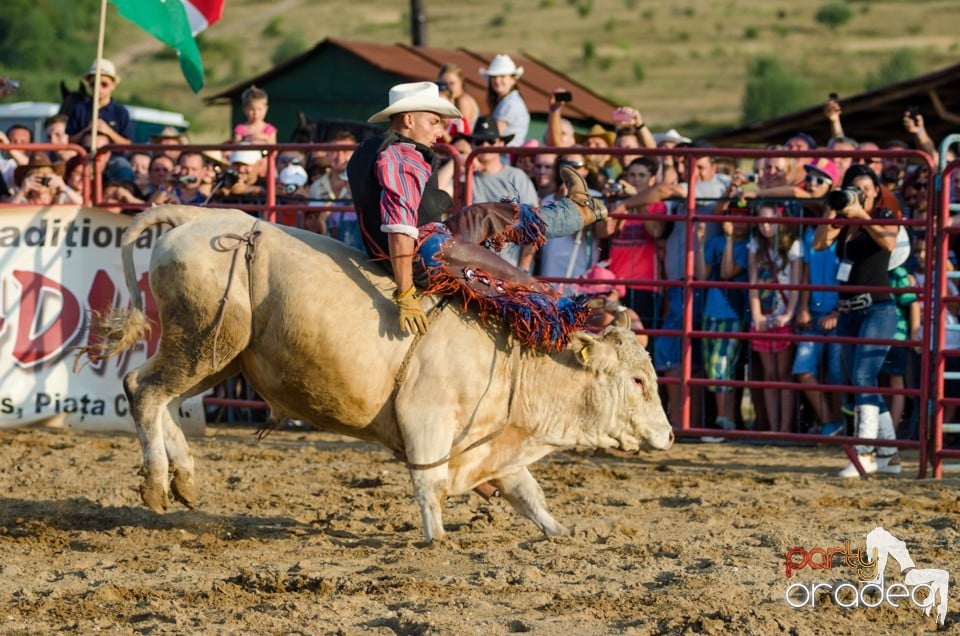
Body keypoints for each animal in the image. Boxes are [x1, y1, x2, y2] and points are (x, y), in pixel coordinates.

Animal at [84, 206, 676, 544]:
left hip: (221, 355)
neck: (511, 362)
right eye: (638, 381)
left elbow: (527, 492)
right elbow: (429, 483)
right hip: (201, 343)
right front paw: (436, 539)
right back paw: (157, 484)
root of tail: (195, 220)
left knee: (161, 399)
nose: (670, 435)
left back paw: (182, 476)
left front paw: (560, 531)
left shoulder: (492, 443)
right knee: (144, 390)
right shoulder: (428, 420)